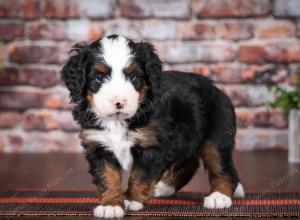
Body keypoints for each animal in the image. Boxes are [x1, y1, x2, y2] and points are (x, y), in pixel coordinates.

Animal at [60, 34, 244, 218]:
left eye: (133, 76)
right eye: (99, 77)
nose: (119, 102)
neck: (118, 121)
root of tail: (217, 89)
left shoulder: (152, 145)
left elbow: (140, 175)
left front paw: (131, 200)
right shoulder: (98, 145)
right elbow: (107, 177)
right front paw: (111, 204)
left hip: (217, 136)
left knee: (223, 168)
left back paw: (220, 197)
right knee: (188, 164)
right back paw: (164, 187)